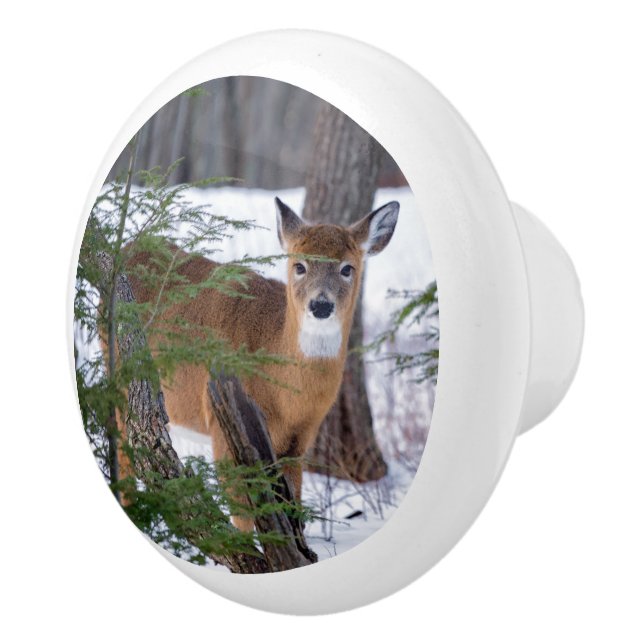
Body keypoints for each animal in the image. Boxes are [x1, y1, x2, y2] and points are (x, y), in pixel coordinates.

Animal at [122, 197, 399, 531]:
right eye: (300, 266)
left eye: (347, 268)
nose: (321, 305)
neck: (288, 400)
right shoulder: (223, 430)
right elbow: (244, 520)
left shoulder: (298, 444)